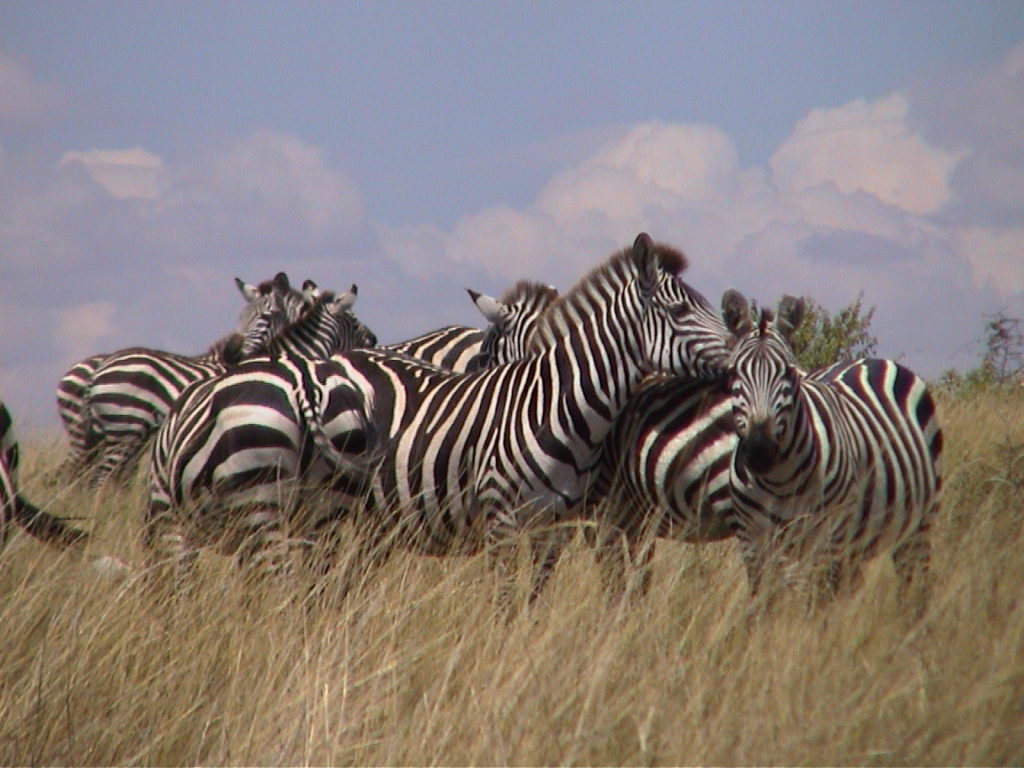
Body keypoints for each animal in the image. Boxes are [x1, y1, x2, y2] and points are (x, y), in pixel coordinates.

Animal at [720, 290, 942, 606]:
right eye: (732, 374)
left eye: (789, 374)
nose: (759, 451)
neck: (778, 481)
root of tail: (869, 359)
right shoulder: (752, 542)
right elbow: (762, 603)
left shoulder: (827, 538)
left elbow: (819, 606)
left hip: (918, 523)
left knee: (915, 582)